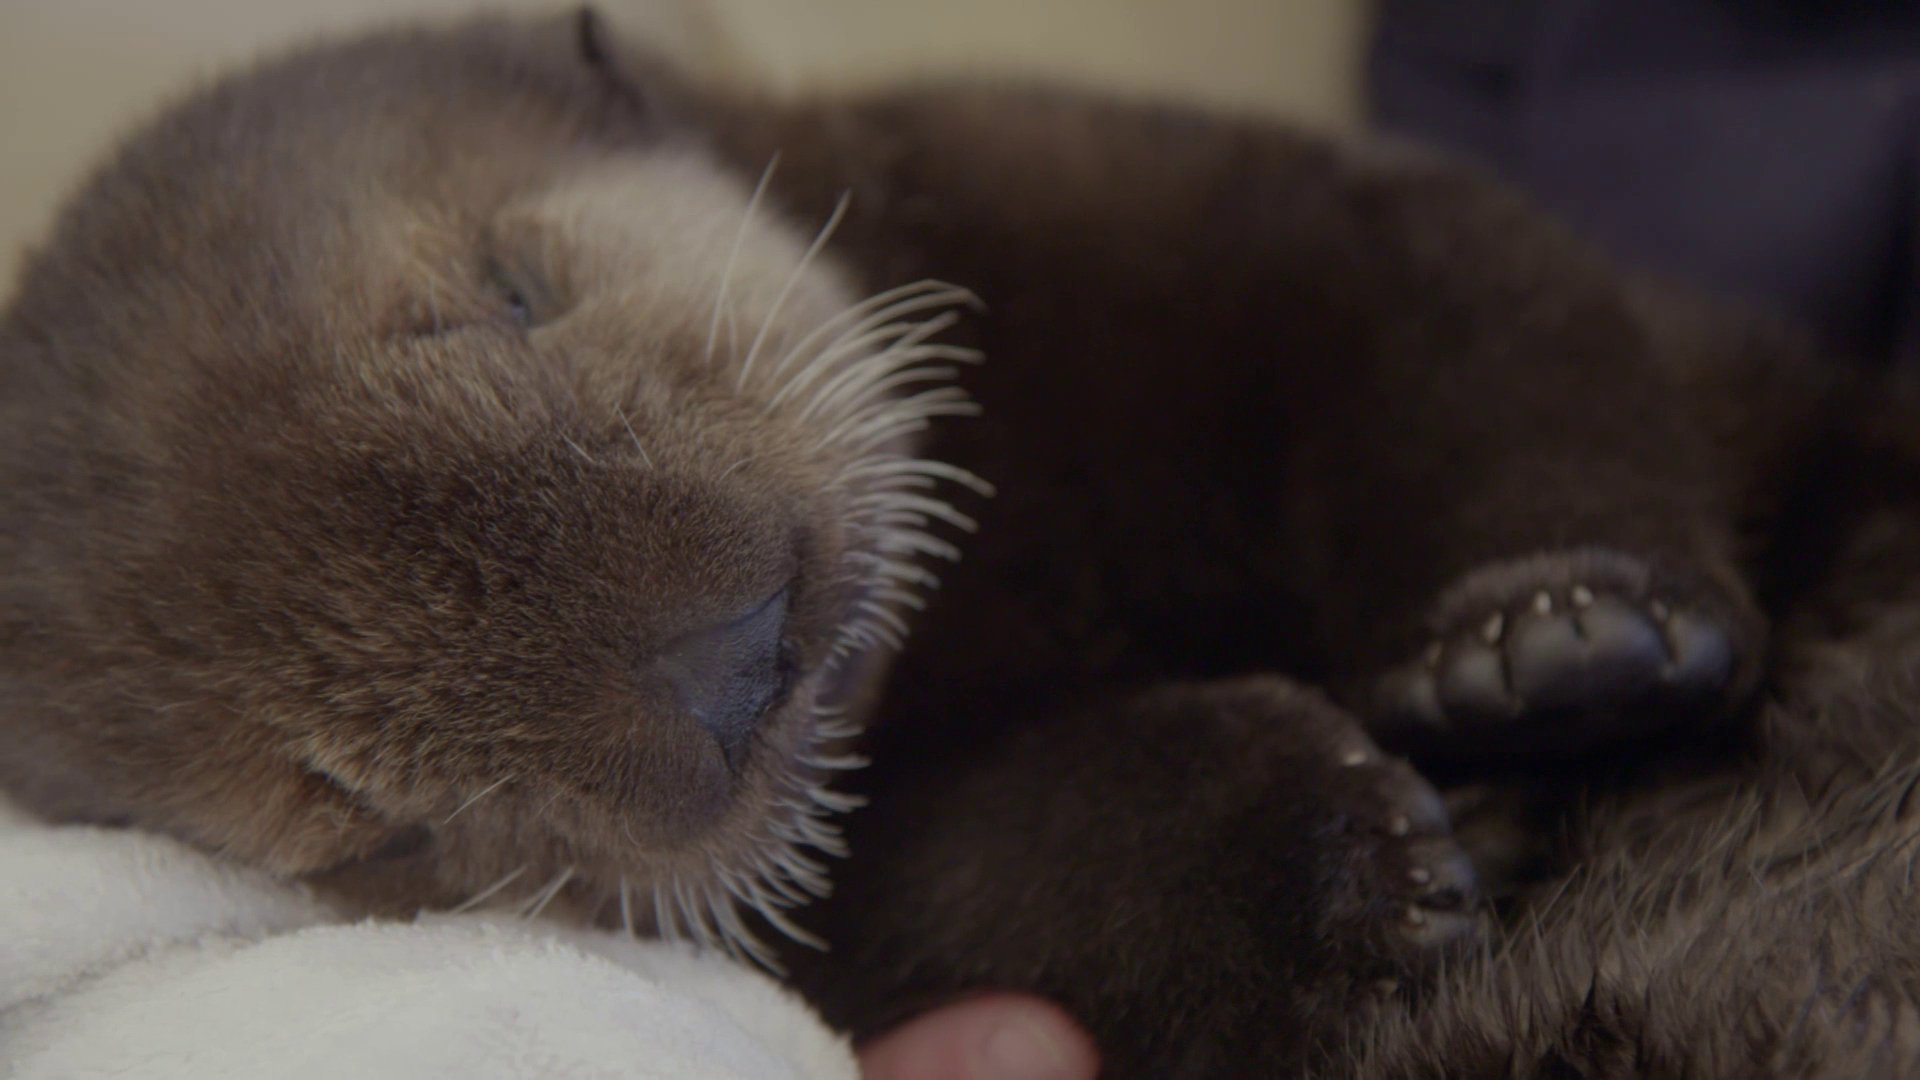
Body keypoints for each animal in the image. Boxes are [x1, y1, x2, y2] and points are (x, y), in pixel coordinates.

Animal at [1, 9, 1903, 1076]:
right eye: (353, 804)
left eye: (509, 292)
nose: (726, 665)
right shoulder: (858, 916)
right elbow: (999, 864)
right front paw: (1351, 867)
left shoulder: (1160, 201)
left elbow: (1457, 307)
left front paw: (1554, 636)